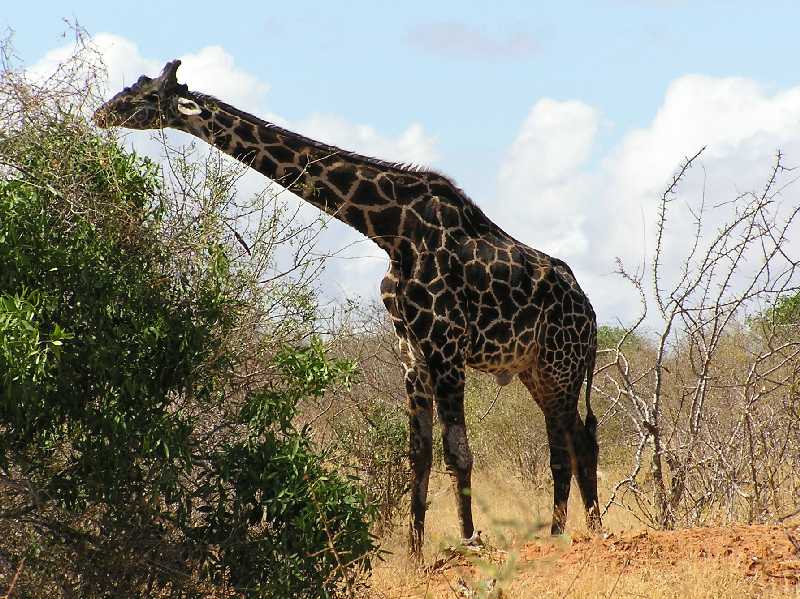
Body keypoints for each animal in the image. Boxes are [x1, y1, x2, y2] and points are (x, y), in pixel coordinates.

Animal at [94, 59, 600, 556]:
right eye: (133, 86)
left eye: (145, 96)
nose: (101, 113)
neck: (390, 230)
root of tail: (591, 316)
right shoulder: (412, 348)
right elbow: (419, 452)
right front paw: (416, 555)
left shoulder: (446, 344)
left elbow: (457, 449)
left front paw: (469, 542)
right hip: (538, 369)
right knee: (575, 440)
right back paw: (580, 528)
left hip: (560, 365)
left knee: (570, 442)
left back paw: (567, 534)